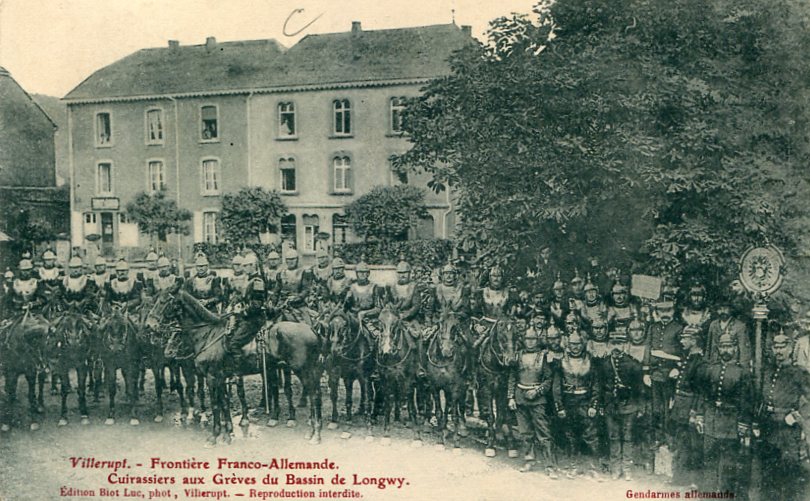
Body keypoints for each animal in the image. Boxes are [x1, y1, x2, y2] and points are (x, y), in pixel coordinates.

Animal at [368, 306, 422, 444]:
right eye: (379, 322)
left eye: (396, 323)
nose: (386, 351)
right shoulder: (387, 379)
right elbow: (388, 402)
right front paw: (386, 433)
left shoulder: (408, 380)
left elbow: (411, 405)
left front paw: (417, 435)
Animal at [426, 308, 470, 450]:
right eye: (440, 324)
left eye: (455, 327)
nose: (447, 351)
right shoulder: (435, 386)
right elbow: (439, 411)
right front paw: (441, 439)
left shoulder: (455, 387)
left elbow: (455, 415)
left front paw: (456, 443)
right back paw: (444, 429)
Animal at [468, 316, 516, 458]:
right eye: (501, 336)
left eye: (515, 335)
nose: (511, 360)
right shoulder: (486, 390)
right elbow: (491, 416)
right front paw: (490, 445)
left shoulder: (503, 390)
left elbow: (504, 415)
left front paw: (507, 442)